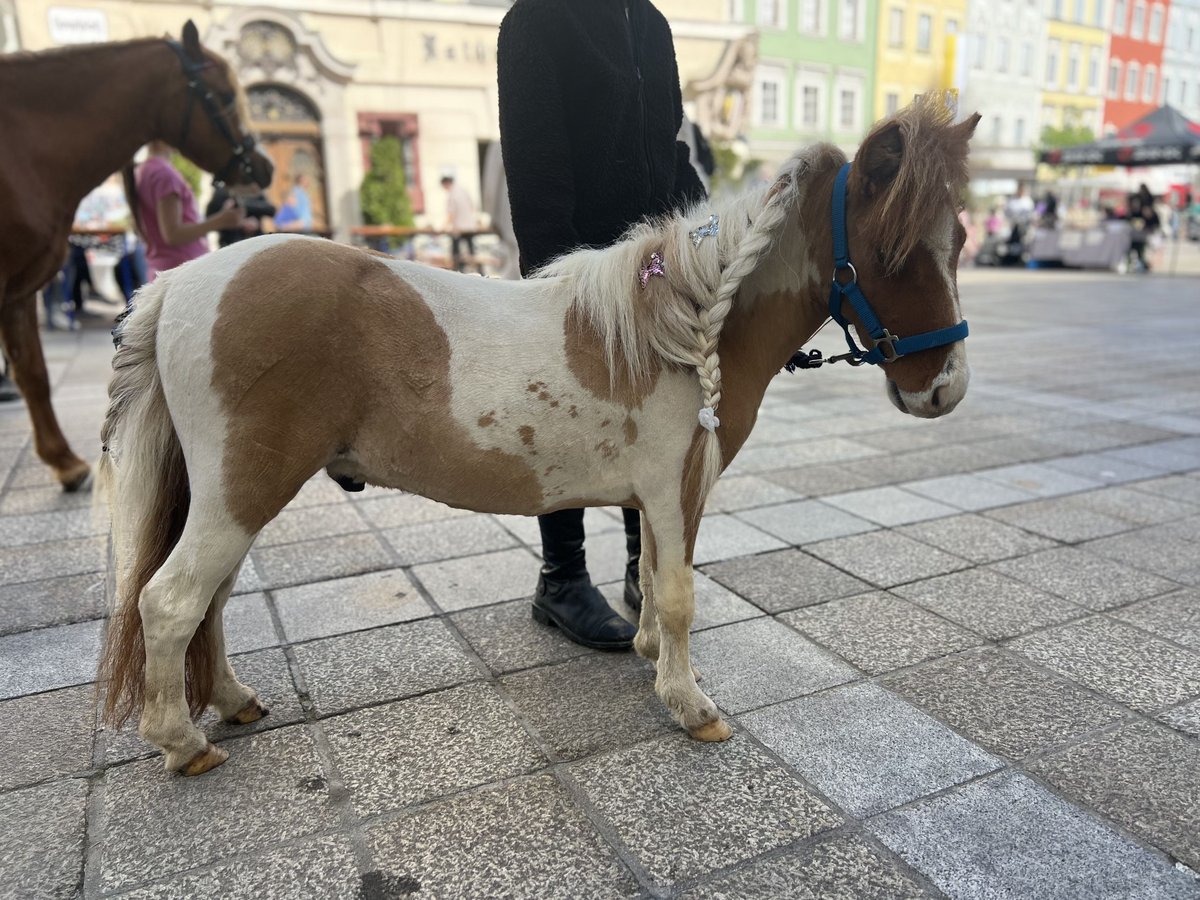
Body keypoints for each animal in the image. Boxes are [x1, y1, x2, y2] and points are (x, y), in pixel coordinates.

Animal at [0, 21, 273, 490]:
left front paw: (64, 461)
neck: (26, 151)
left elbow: (34, 372)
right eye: (222, 96)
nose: (266, 167)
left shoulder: (18, 290)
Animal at [98, 96, 979, 775]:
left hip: (232, 495)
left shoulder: (658, 495)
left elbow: (651, 577)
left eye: (963, 241)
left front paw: (649, 657)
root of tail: (178, 285)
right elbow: (678, 593)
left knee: (208, 598)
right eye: (893, 251)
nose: (945, 389)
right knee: (171, 601)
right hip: (242, 490)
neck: (684, 328)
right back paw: (182, 743)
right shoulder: (675, 488)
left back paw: (232, 702)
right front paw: (691, 705)